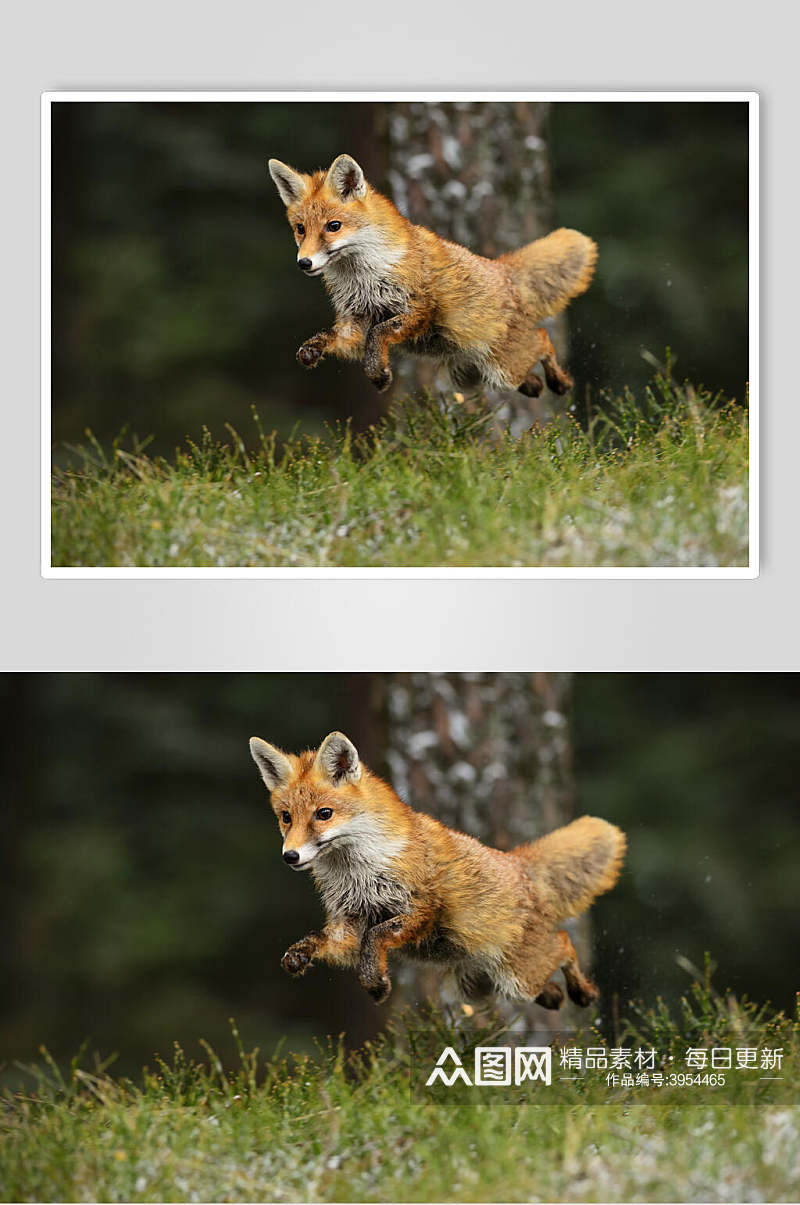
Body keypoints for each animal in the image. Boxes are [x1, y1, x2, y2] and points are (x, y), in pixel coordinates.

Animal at [250, 727, 626, 1002]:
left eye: (324, 814)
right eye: (286, 817)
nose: (290, 856)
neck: (360, 872)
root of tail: (517, 861)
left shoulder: (421, 909)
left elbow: (375, 939)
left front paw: (375, 984)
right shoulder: (350, 921)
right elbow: (321, 939)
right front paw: (298, 956)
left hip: (517, 978)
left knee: (564, 942)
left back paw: (584, 992)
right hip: (484, 987)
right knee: (550, 983)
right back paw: (558, 996)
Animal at [267, 153, 592, 397]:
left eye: (333, 226)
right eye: (300, 229)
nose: (304, 262)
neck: (365, 277)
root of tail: (502, 269)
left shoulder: (418, 309)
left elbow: (378, 335)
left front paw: (378, 375)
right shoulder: (355, 320)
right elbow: (334, 337)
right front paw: (311, 352)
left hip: (503, 369)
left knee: (543, 339)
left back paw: (560, 381)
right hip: (475, 376)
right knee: (531, 373)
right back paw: (539, 385)